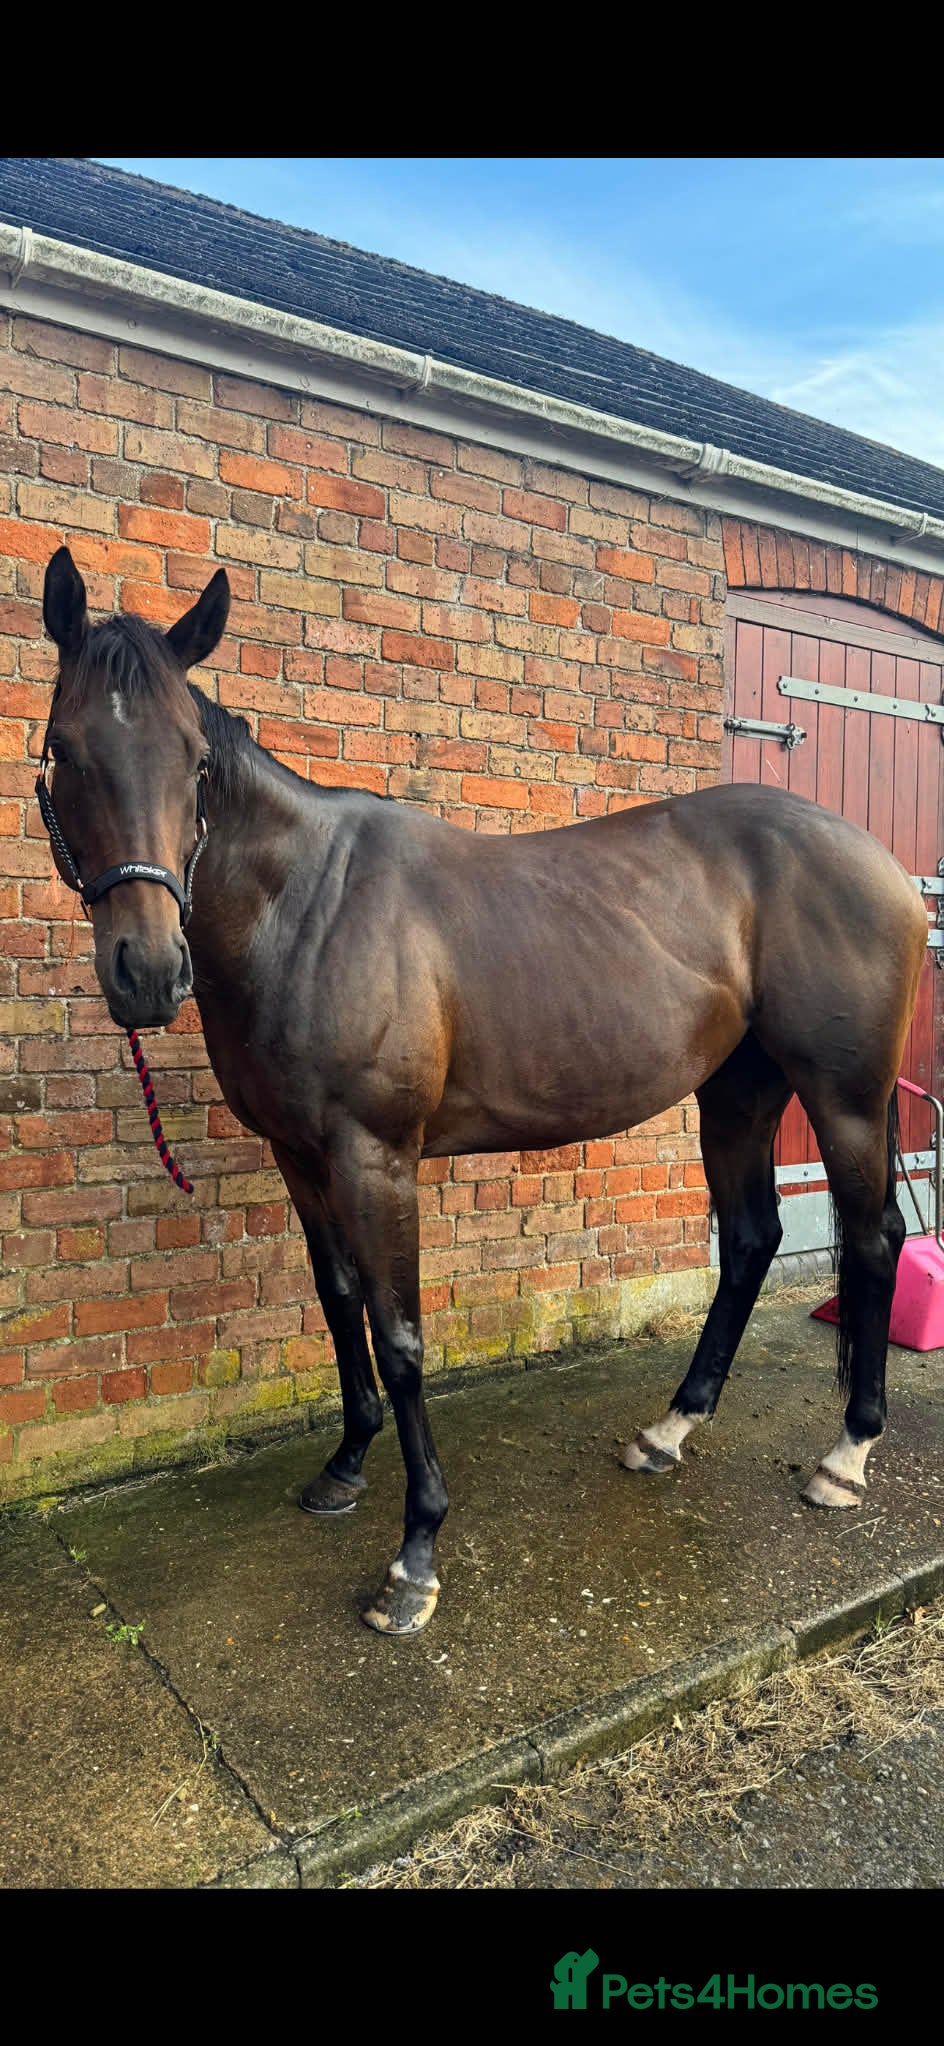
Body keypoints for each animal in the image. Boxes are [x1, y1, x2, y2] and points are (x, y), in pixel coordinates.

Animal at [35, 546, 927, 1635]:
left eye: (196, 761)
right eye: (62, 748)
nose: (148, 972)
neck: (306, 909)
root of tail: (879, 862)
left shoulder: (375, 1157)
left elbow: (401, 1334)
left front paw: (415, 1556)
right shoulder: (299, 1156)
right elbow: (339, 1301)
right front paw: (344, 1466)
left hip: (843, 1098)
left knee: (872, 1240)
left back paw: (845, 1455)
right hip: (737, 1093)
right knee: (754, 1237)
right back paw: (669, 1430)